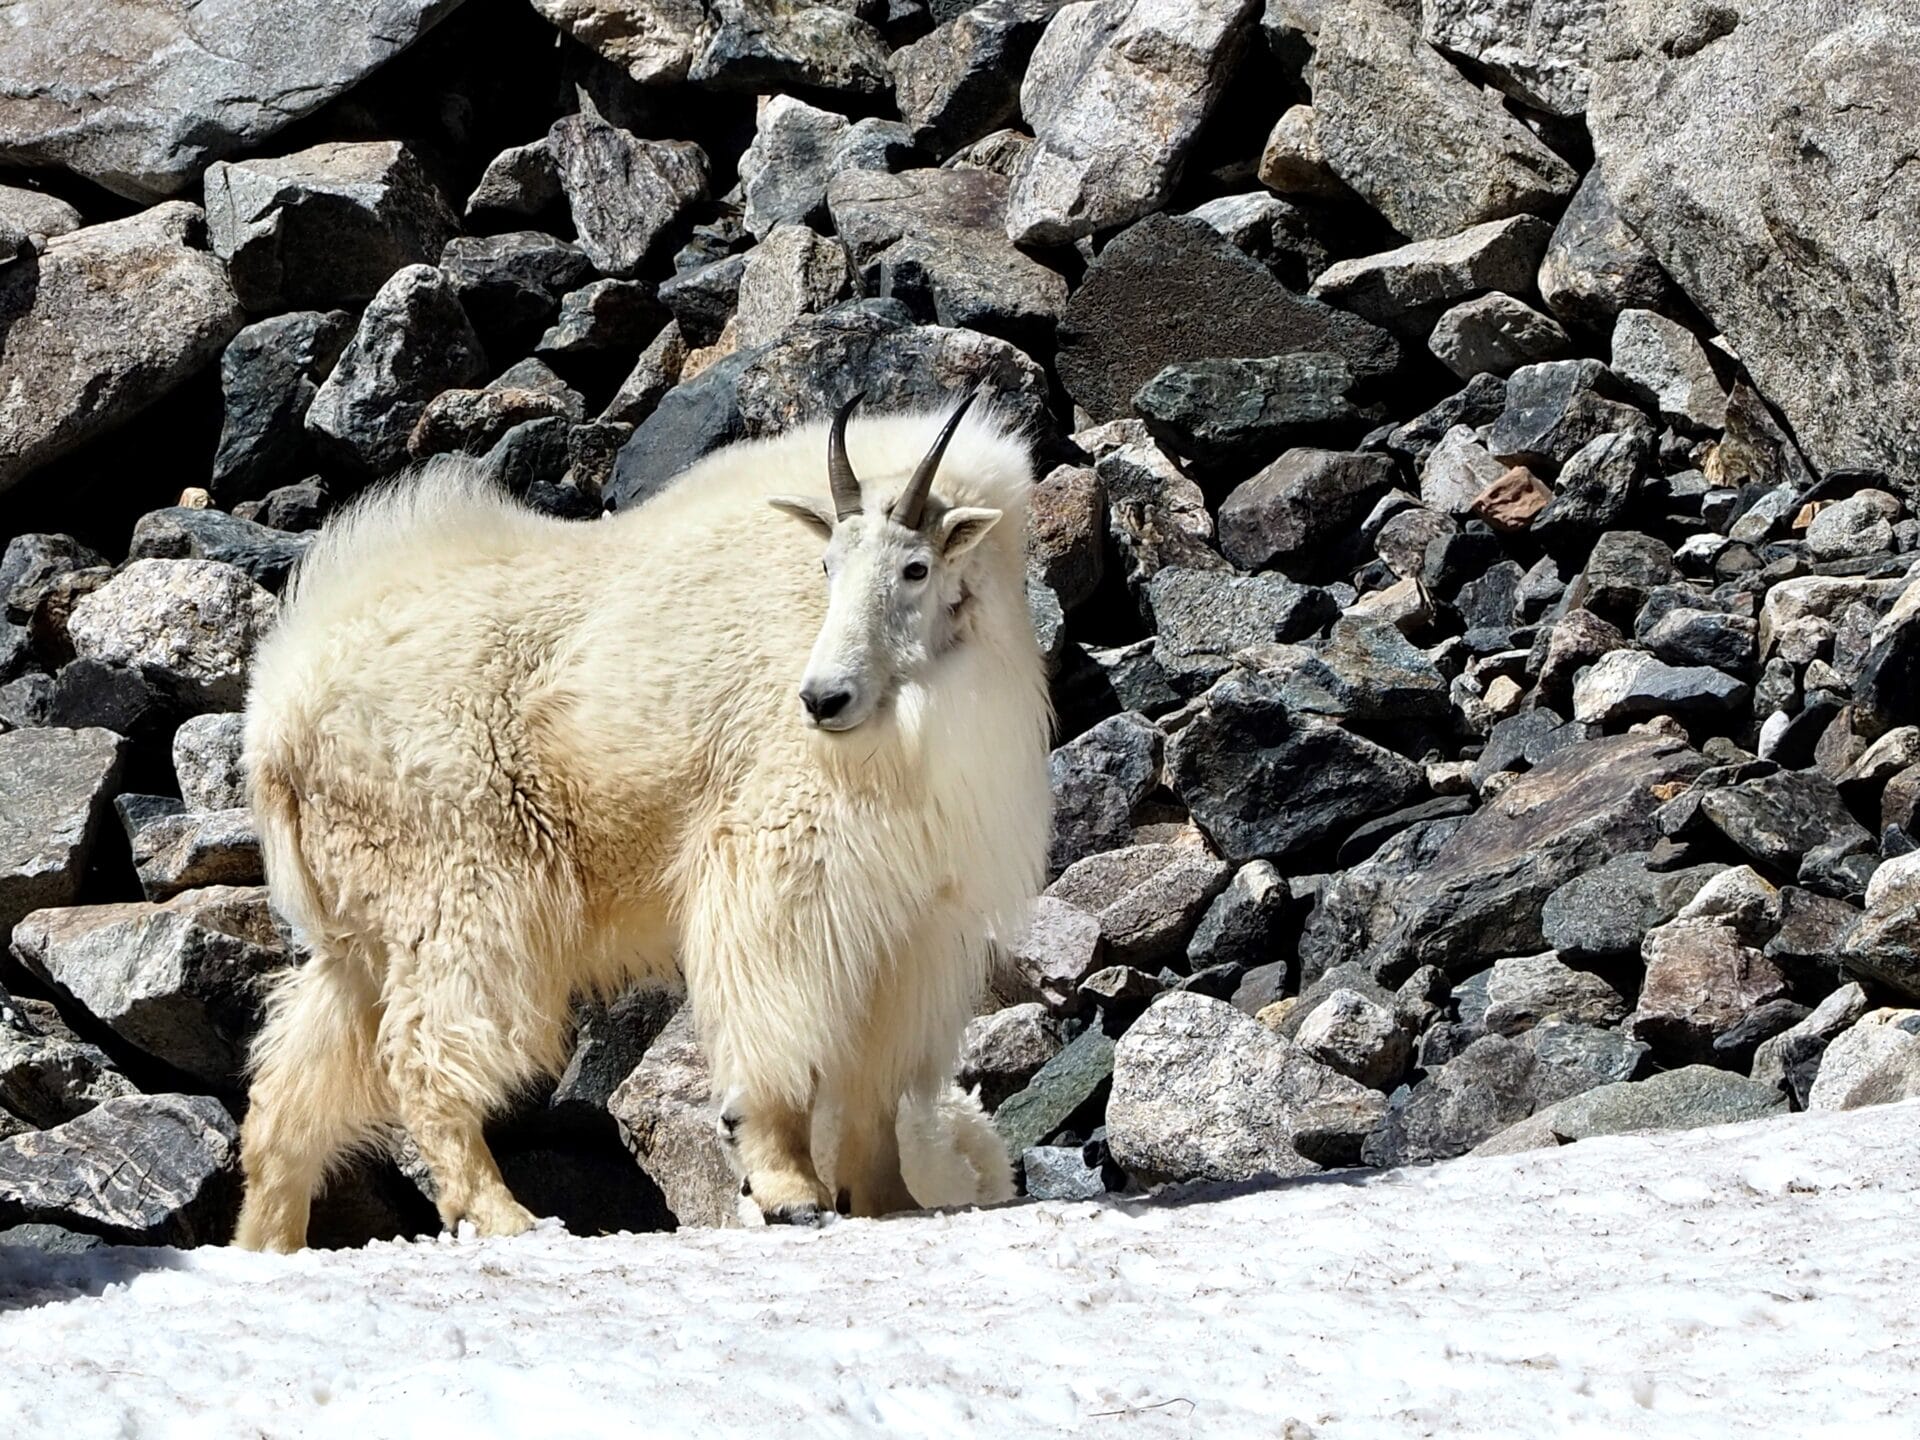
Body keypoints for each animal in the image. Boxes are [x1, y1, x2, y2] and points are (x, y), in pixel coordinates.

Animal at [233, 393, 1049, 1250]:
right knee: (425, 1050)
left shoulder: (915, 918)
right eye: (826, 567)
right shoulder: (778, 862)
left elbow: (878, 1075)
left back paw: (269, 1240)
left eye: (916, 568)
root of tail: (275, 716)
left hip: (365, 927)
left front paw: (890, 1197)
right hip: (460, 886)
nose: (824, 700)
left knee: (293, 1089)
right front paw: (790, 1189)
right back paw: (505, 1216)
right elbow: (777, 1025)